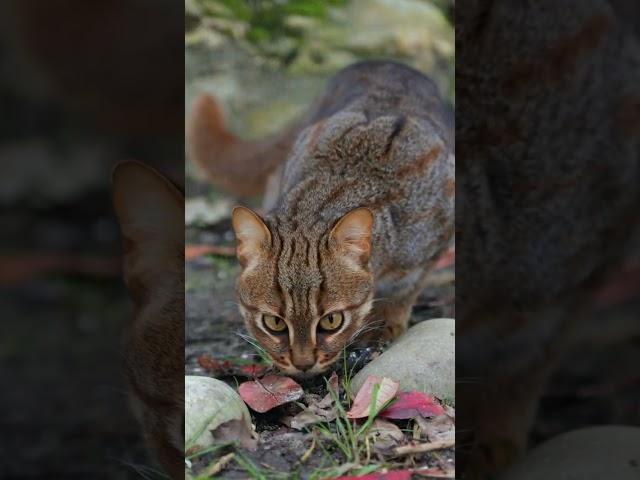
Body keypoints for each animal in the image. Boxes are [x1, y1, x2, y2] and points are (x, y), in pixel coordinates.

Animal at [186, 61, 456, 378]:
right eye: (274, 323)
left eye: (332, 321)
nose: (303, 364)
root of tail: (382, 62)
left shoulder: (438, 236)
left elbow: (405, 290)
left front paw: (386, 322)